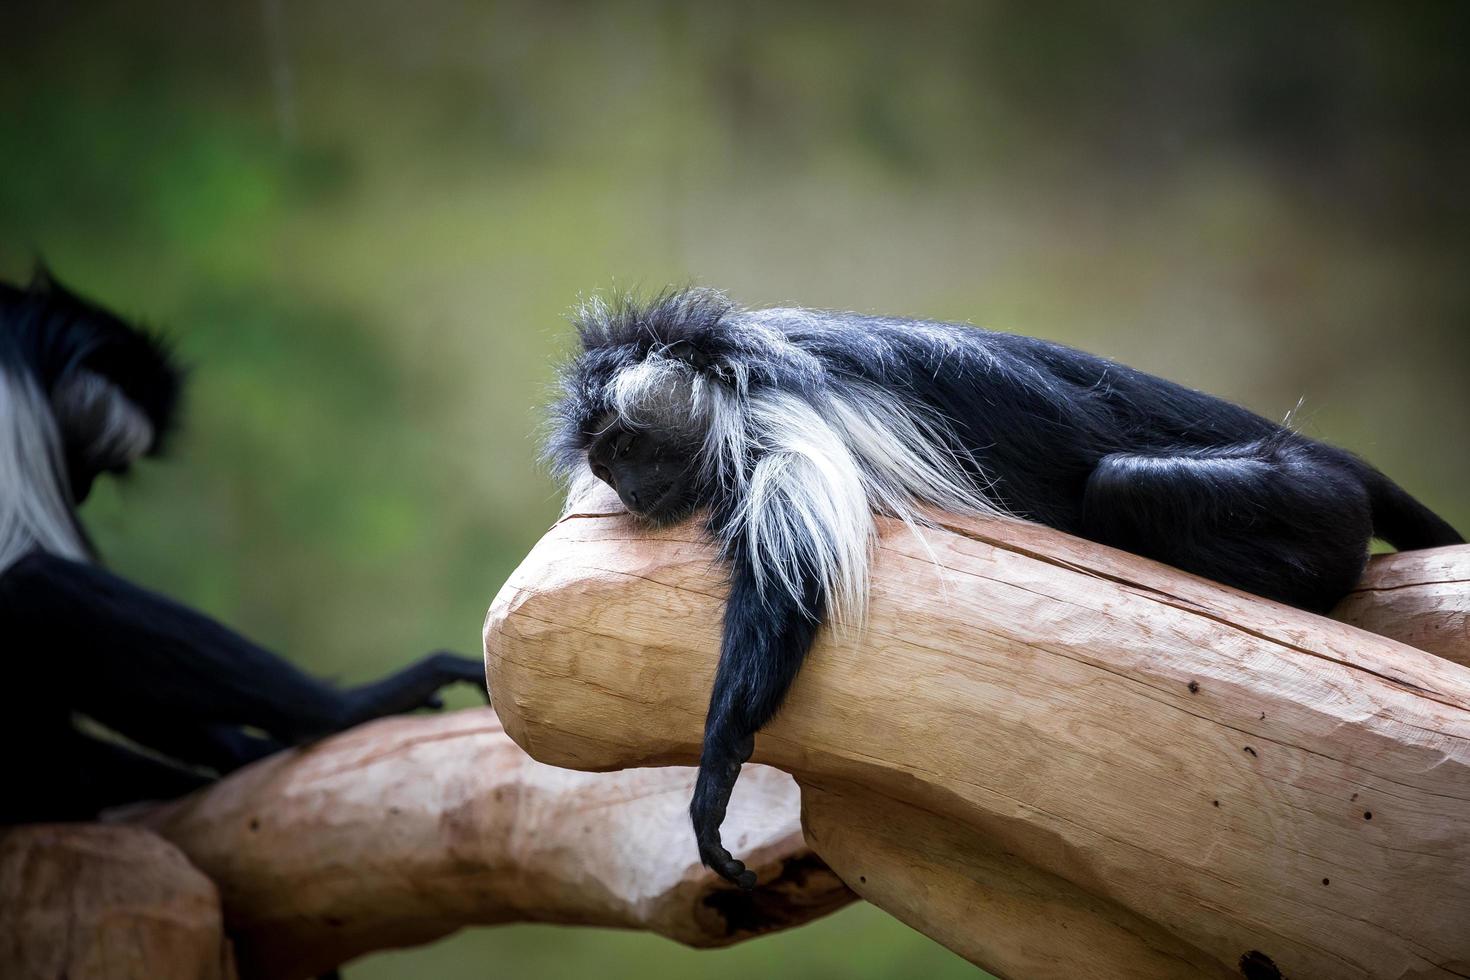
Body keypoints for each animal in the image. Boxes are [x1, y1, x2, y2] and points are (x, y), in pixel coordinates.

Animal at [546, 289, 1464, 887]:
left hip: (1306, 500)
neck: (728, 362)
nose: (628, 490)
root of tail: (1323, 454)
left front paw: (713, 787)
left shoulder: (782, 426)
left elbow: (788, 590)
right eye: (607, 463)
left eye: (628, 448)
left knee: (1129, 489)